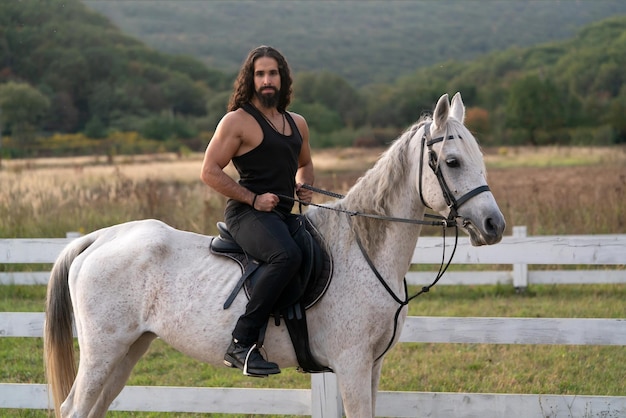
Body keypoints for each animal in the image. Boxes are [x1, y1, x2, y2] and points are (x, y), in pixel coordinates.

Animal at [42, 93, 502, 416]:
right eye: (452, 161)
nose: (493, 225)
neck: (361, 251)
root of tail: (100, 238)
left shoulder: (371, 367)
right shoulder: (352, 366)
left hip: (128, 350)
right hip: (102, 351)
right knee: (74, 407)